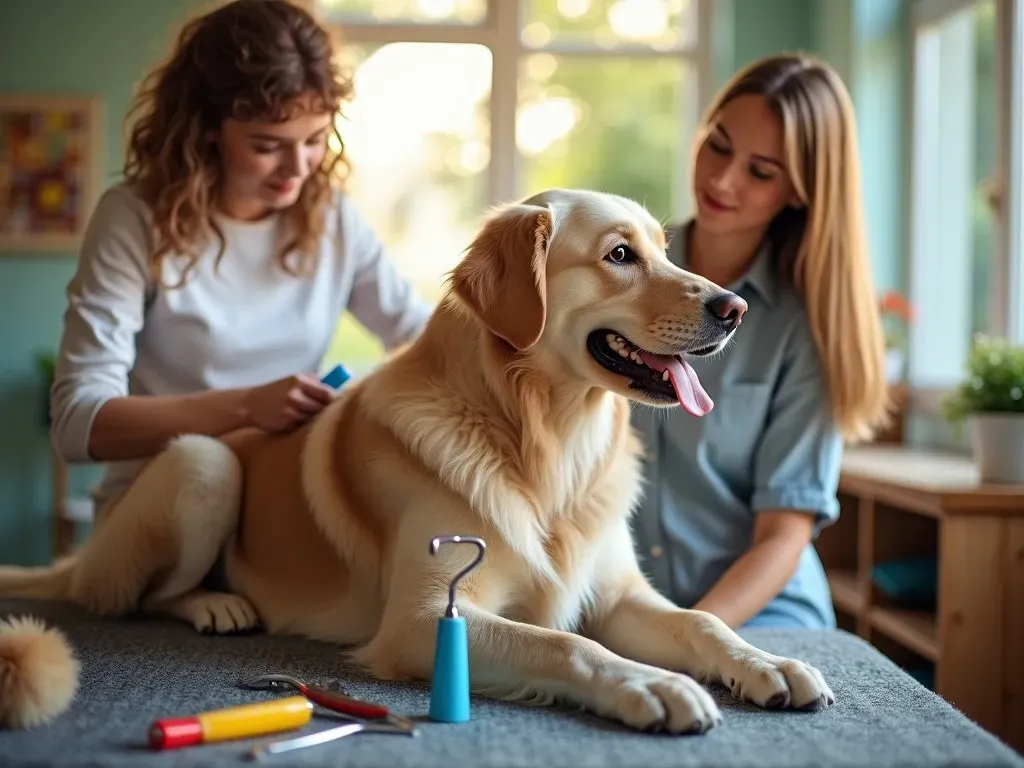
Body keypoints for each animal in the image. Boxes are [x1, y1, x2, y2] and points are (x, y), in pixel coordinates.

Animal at [0, 191, 831, 733]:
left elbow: (701, 622)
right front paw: (652, 685)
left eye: (663, 248)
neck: (540, 440)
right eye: (619, 256)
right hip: (204, 463)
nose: (733, 307)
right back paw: (215, 603)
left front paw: (767, 664)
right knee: (141, 595)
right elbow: (568, 642)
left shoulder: (620, 594)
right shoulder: (425, 618)